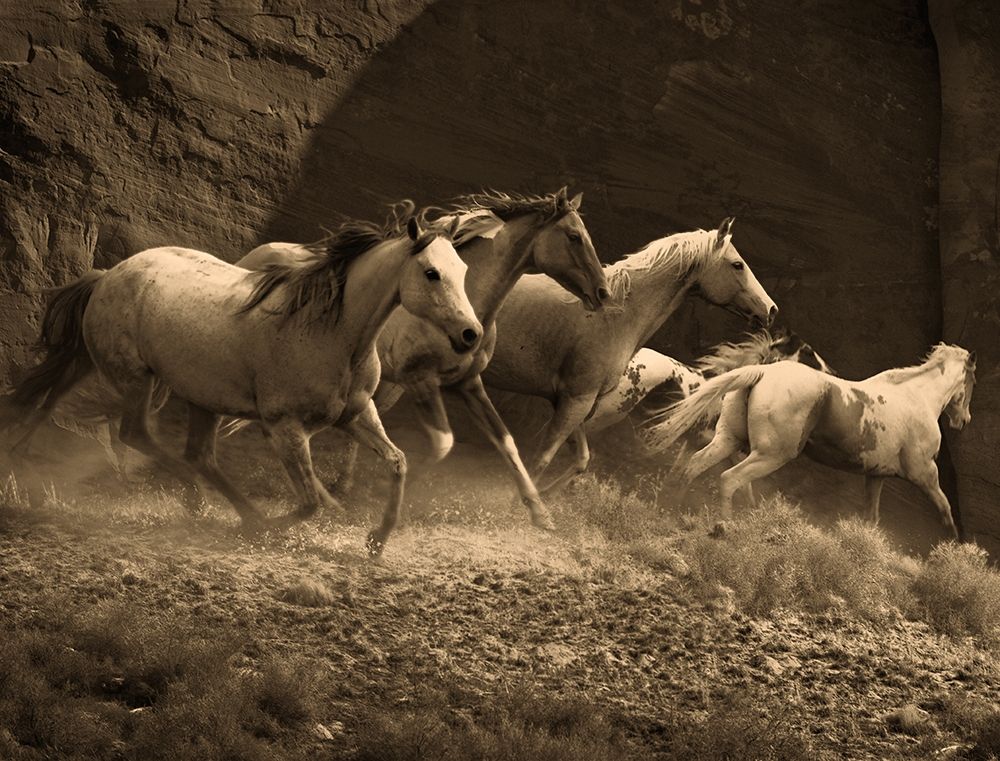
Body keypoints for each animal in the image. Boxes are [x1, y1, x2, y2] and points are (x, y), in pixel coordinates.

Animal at [7, 205, 481, 556]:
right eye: (431, 273)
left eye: (461, 269)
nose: (470, 334)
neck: (332, 331)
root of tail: (108, 274)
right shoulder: (285, 427)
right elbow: (310, 501)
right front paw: (277, 525)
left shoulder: (357, 414)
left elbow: (397, 462)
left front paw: (376, 541)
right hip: (136, 377)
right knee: (136, 433)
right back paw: (208, 503)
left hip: (177, 389)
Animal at [481, 217, 778, 494]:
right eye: (737, 264)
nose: (771, 309)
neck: (614, 316)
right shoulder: (576, 401)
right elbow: (540, 460)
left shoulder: (581, 403)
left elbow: (580, 460)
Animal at [643, 344, 976, 537]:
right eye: (972, 380)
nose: (964, 420)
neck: (917, 398)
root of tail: (762, 372)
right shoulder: (924, 473)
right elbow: (945, 511)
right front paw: (952, 549)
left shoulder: (876, 475)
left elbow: (871, 518)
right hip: (771, 454)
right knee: (729, 479)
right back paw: (723, 527)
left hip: (728, 440)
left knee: (692, 466)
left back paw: (670, 510)